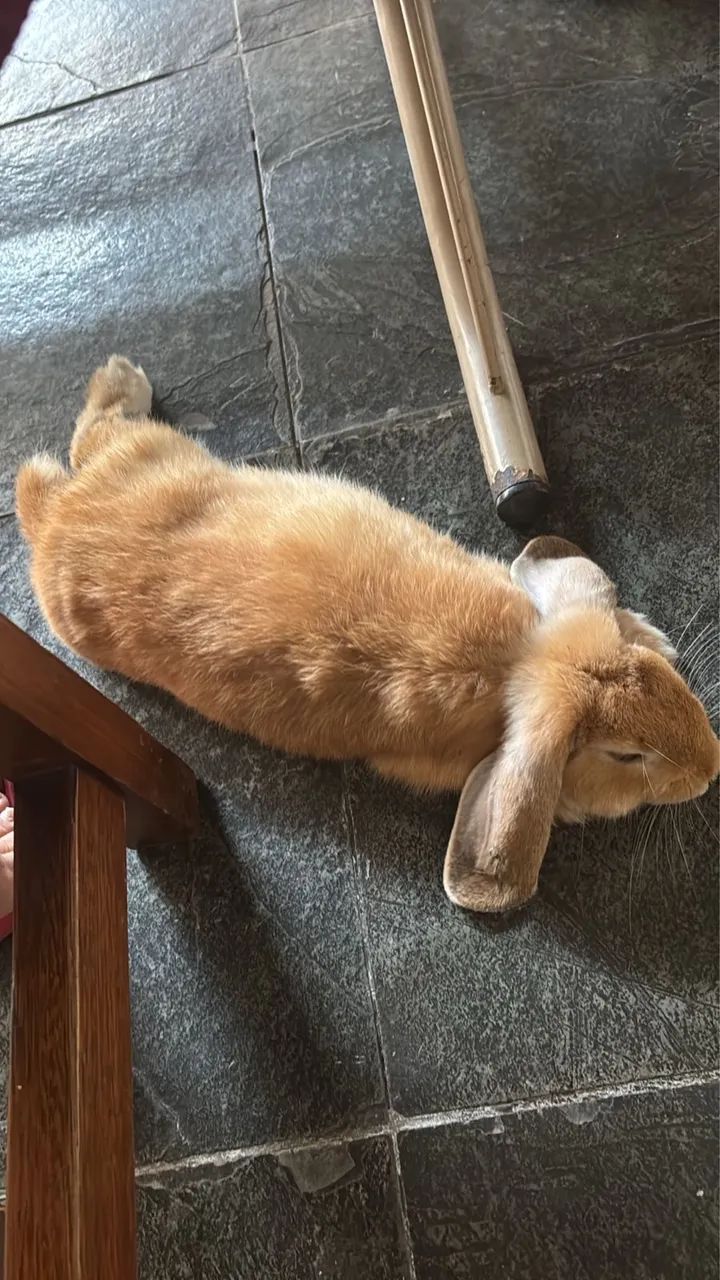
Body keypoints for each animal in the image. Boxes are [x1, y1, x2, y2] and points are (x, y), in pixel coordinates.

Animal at [16, 356, 719, 913]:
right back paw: (125, 375)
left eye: (652, 675)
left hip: (153, 458)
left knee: (93, 436)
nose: (710, 768)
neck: (514, 663)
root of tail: (59, 519)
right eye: (624, 756)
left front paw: (654, 634)